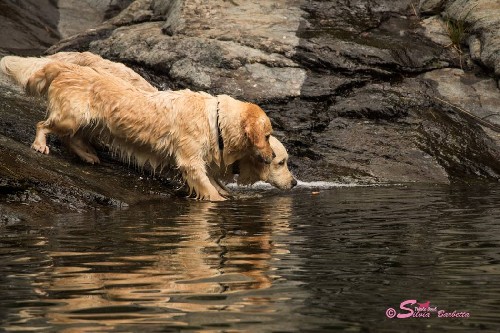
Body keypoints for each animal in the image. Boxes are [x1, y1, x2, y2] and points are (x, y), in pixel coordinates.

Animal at [1, 57, 276, 200]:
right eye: (267, 136)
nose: (273, 155)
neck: (215, 119)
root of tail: (66, 66)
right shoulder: (189, 159)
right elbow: (203, 182)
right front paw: (217, 200)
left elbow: (212, 180)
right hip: (72, 115)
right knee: (44, 125)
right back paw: (40, 144)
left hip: (90, 121)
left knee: (73, 138)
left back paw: (88, 155)